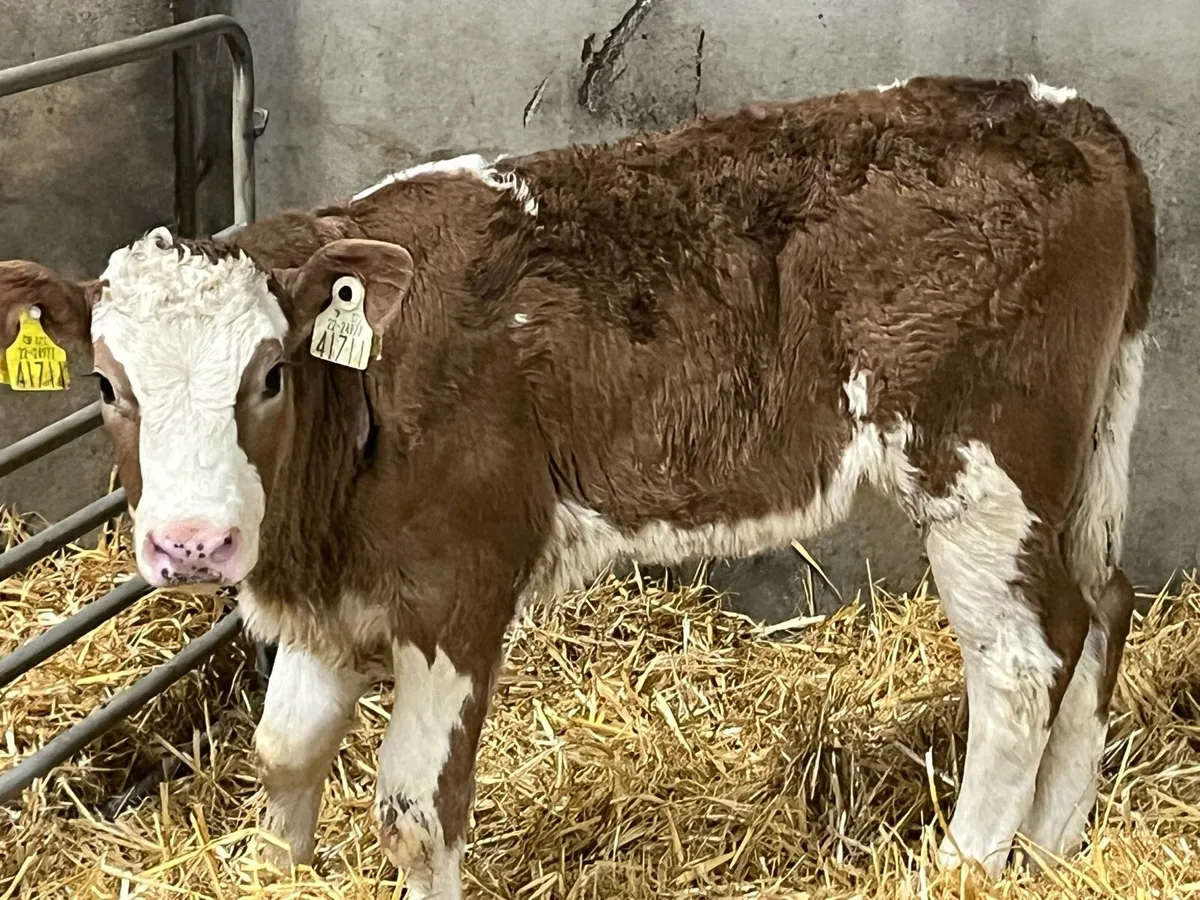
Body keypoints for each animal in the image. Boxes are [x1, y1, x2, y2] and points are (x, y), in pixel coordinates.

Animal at [0, 73, 1156, 896]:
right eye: (104, 384)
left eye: (272, 373)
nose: (191, 543)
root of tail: (1071, 113)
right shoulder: (335, 595)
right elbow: (284, 754)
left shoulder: (460, 584)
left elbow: (414, 812)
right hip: (1075, 470)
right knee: (1103, 604)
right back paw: (1057, 844)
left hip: (980, 473)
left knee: (1022, 663)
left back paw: (968, 866)